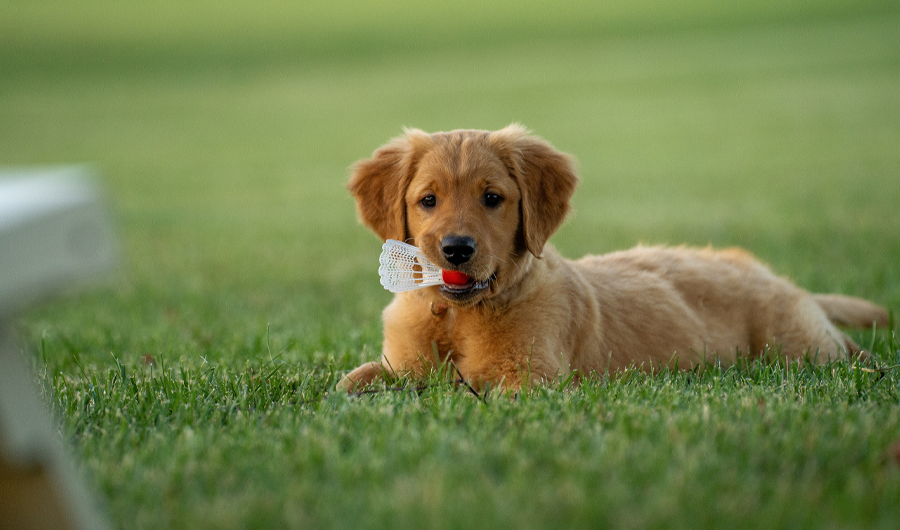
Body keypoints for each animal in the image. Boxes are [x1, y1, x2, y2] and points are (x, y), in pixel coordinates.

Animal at [340, 122, 892, 388]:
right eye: (428, 200)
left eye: (492, 198)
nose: (456, 249)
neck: (456, 316)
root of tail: (776, 277)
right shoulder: (401, 364)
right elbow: (356, 380)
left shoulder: (529, 381)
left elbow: (464, 391)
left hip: (795, 345)